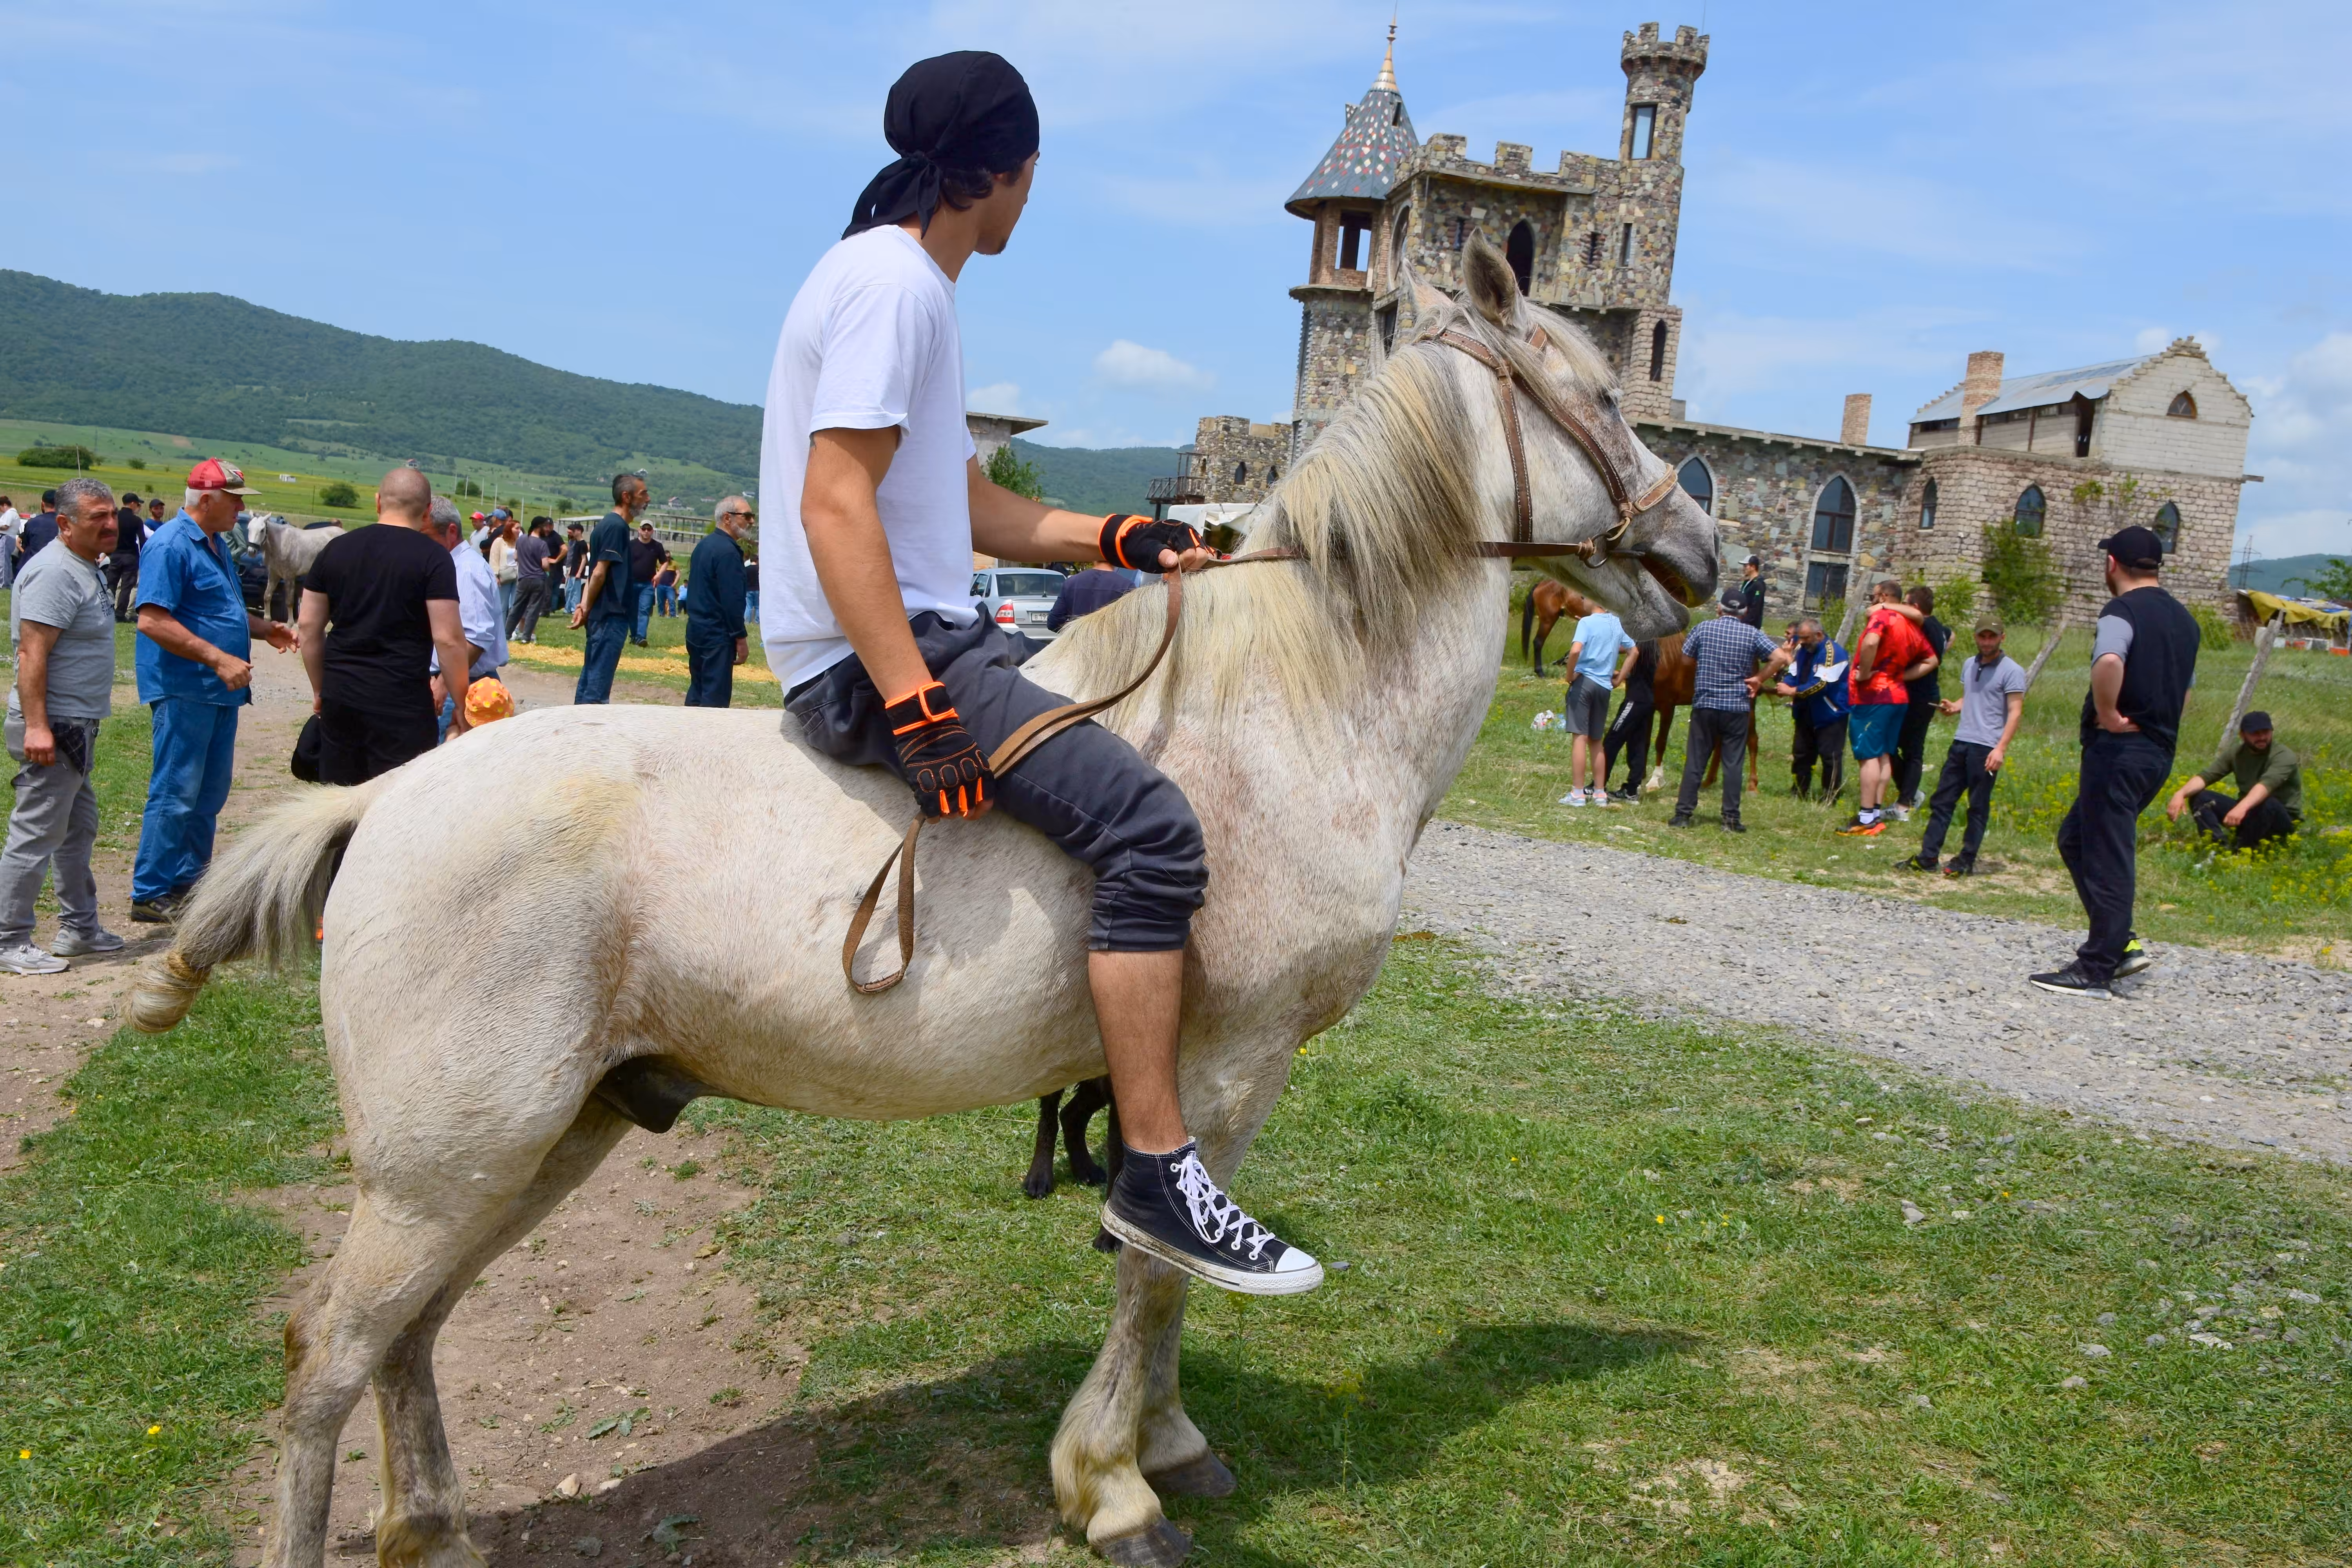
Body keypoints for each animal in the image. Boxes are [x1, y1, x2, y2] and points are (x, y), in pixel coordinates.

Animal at [129, 234, 1717, 1568]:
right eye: (1595, 393)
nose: (1701, 556)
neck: (1295, 707)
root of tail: (388, 800)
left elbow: (1161, 1284)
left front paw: (1167, 1440)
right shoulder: (1220, 1067)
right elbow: (1162, 1270)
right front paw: (1115, 1481)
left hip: (529, 1142)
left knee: (409, 1337)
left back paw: (434, 1527)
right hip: (447, 1161)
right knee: (328, 1358)